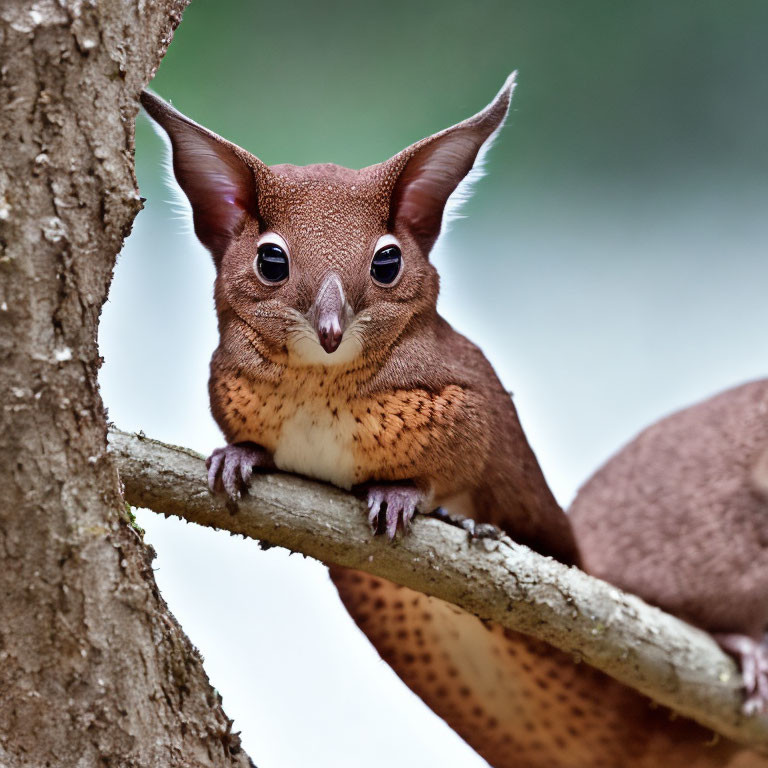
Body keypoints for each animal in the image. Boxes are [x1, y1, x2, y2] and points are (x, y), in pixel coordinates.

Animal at [140, 79, 768, 768]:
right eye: (271, 262)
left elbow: (452, 468)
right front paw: (238, 456)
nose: (330, 330)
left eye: (387, 263)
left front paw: (401, 494)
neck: (319, 383)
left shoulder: (472, 406)